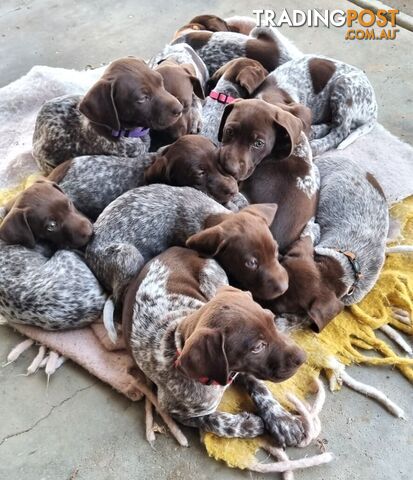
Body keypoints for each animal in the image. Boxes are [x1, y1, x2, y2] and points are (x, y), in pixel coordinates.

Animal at [122, 248, 306, 446]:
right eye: (257, 347)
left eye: (270, 320)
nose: (303, 358)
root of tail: (178, 248)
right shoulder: (174, 410)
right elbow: (213, 420)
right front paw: (248, 425)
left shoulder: (239, 369)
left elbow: (260, 387)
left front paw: (282, 420)